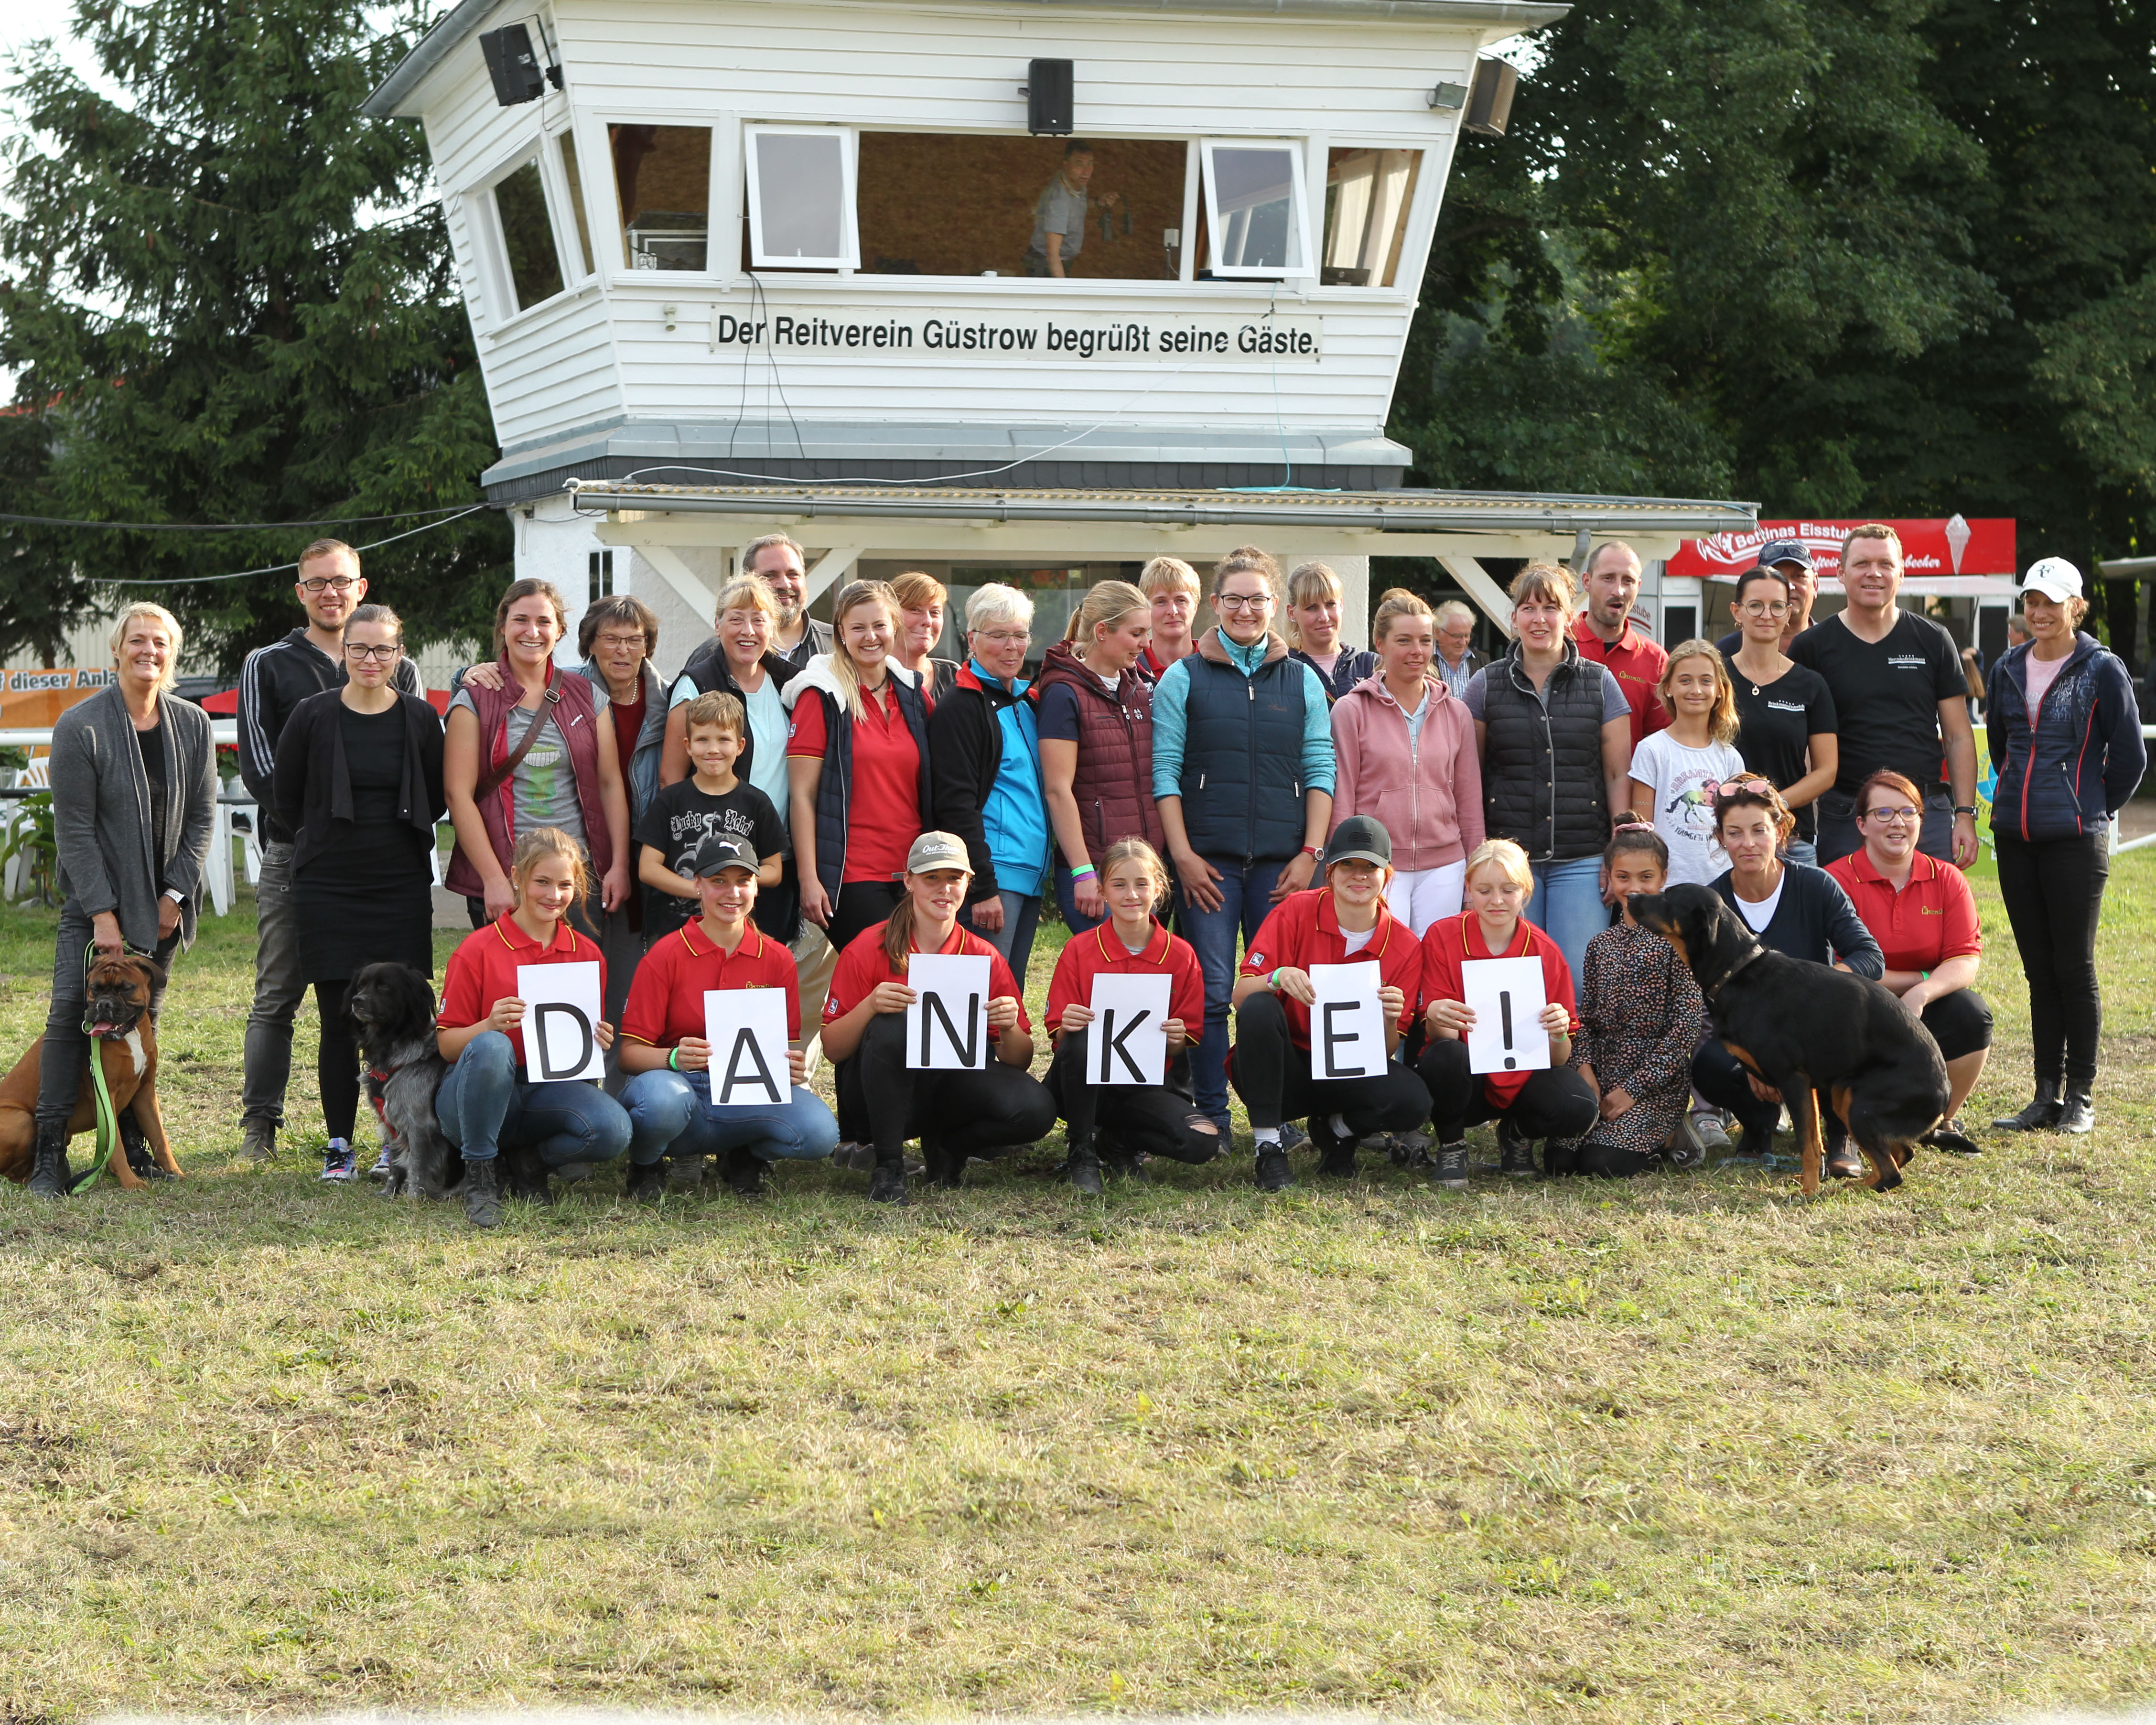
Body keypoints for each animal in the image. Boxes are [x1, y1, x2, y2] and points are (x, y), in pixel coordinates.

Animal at [345, 970, 464, 1198]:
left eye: (384, 987)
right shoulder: (391, 1124)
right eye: (361, 986)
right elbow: (394, 1165)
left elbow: (416, 1167)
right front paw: (390, 1192)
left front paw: (413, 1199)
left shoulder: (419, 1125)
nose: (357, 1000)